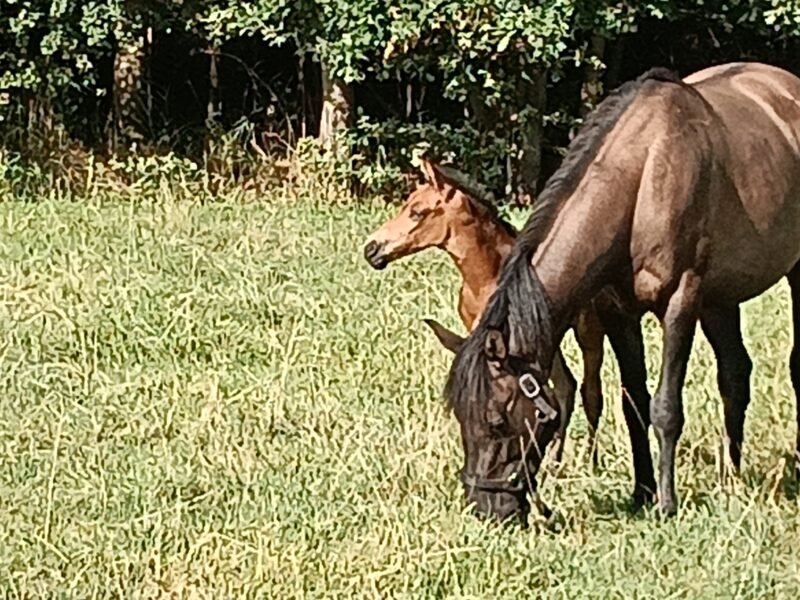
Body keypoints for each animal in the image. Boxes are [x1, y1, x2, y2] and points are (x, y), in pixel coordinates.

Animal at [362, 159, 626, 465]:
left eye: (417, 212)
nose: (371, 249)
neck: (486, 277)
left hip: (588, 329)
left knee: (590, 392)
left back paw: (587, 462)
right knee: (566, 386)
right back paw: (554, 462)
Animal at [428, 62, 800, 523]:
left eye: (496, 420)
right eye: (461, 418)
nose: (487, 508)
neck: (643, 177)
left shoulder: (680, 302)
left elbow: (664, 408)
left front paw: (666, 502)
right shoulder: (618, 311)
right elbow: (633, 403)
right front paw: (641, 491)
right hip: (720, 298)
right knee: (734, 374)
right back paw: (730, 476)